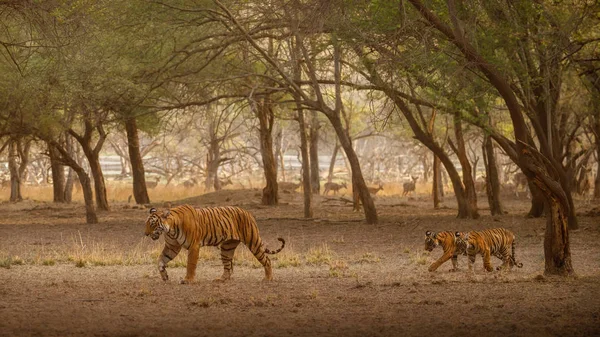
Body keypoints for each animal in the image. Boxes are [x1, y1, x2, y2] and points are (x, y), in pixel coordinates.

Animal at [145, 203, 286, 282]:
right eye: (146, 223)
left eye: (152, 224)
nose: (145, 234)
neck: (170, 229)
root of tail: (248, 212)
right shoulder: (172, 247)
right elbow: (161, 260)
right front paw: (164, 276)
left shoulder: (194, 246)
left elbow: (190, 264)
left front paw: (188, 280)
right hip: (227, 248)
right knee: (228, 267)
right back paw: (221, 279)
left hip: (253, 242)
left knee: (267, 260)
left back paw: (268, 278)